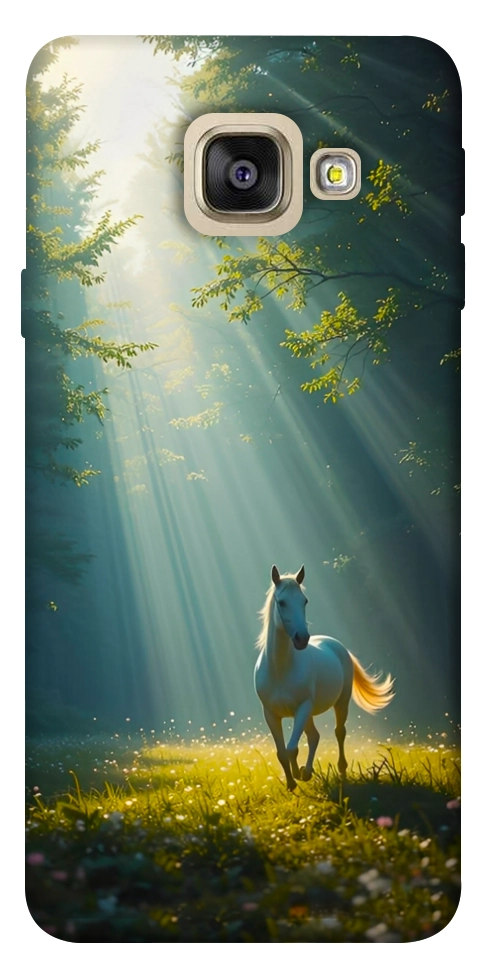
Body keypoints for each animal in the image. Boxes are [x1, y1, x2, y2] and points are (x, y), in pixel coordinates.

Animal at [254, 564, 394, 791]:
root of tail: (336, 645)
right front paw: (292, 782)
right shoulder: (271, 715)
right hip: (308, 714)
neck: (280, 669)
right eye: (282, 602)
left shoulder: (302, 708)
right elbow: (282, 752)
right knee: (314, 736)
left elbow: (292, 748)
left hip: (340, 703)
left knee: (339, 733)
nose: (302, 638)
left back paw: (340, 770)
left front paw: (298, 774)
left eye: (304, 601)